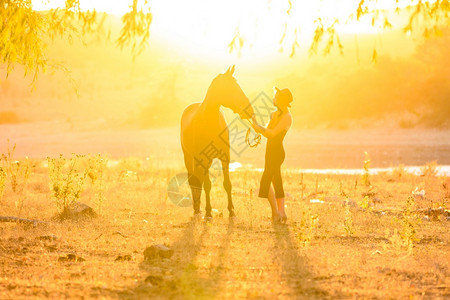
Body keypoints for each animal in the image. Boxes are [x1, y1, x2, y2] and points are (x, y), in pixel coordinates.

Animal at [181, 66, 255, 218]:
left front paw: (231, 210)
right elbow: (208, 185)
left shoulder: (225, 157)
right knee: (193, 181)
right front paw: (209, 212)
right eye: (231, 88)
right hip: (189, 157)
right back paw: (197, 208)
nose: (249, 110)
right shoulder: (203, 159)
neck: (210, 122)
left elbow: (227, 184)